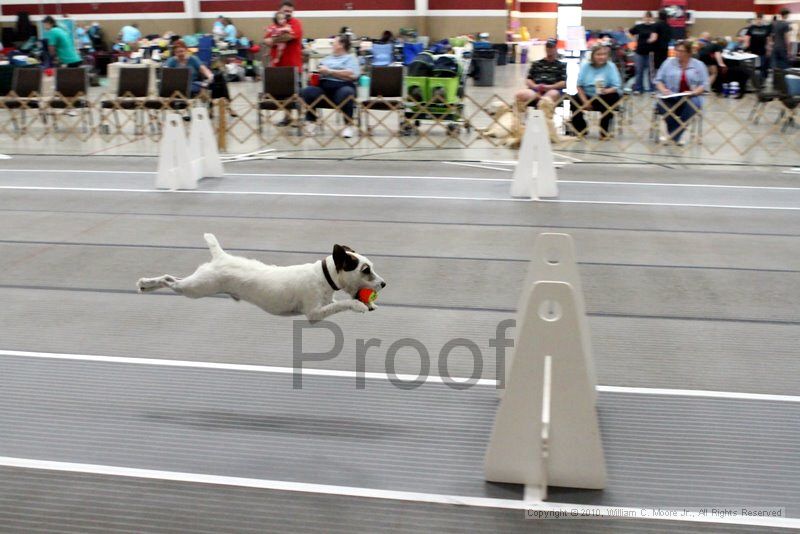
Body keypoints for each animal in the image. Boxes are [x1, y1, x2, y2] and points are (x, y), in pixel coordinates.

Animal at [136, 234, 386, 322]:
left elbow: (337, 302)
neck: (324, 276)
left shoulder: (326, 302)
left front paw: (368, 303)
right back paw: (146, 284)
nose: (384, 284)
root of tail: (220, 256)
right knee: (170, 280)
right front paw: (359, 305)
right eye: (365, 270)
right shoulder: (314, 314)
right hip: (196, 288)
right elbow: (343, 303)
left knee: (172, 279)